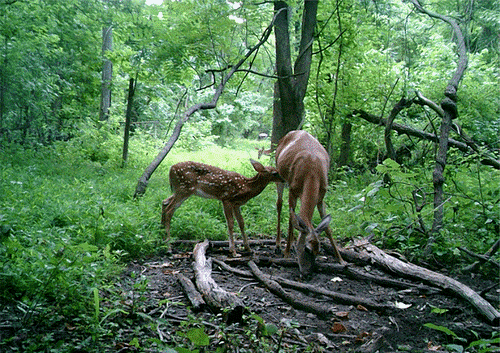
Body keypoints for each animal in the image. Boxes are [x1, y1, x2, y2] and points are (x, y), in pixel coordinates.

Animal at [276, 130, 346, 276]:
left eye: (318, 250)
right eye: (307, 248)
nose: (307, 272)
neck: (311, 172)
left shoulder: (321, 196)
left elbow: (327, 227)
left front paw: (341, 259)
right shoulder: (292, 190)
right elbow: (291, 221)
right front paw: (286, 253)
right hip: (279, 173)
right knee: (279, 204)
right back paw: (278, 245)